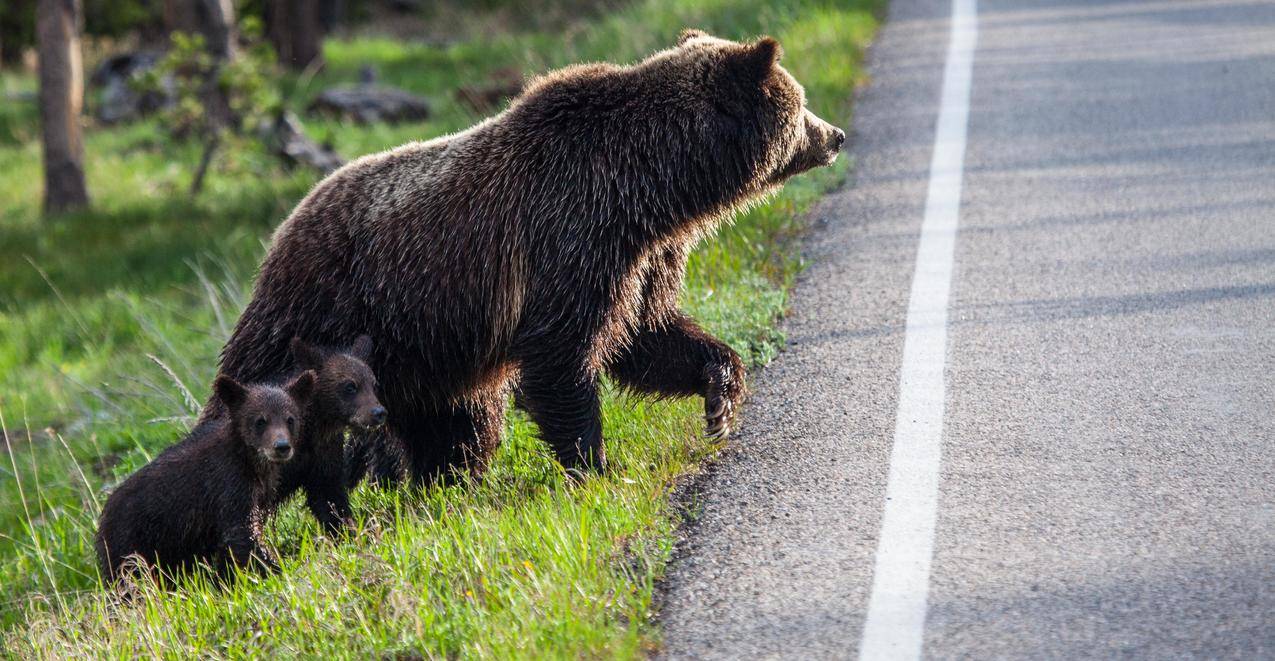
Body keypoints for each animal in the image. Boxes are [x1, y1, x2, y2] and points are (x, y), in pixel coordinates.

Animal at [96, 372, 316, 586]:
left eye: (290, 419)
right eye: (260, 420)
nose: (281, 446)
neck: (250, 461)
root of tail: (101, 520)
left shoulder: (258, 492)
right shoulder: (228, 484)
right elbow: (242, 534)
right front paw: (278, 569)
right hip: (130, 543)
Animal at [214, 29, 841, 487]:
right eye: (801, 104)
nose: (834, 135)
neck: (655, 187)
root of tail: (282, 229)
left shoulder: (643, 255)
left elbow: (646, 334)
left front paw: (720, 398)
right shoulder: (570, 238)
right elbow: (563, 358)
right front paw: (596, 466)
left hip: (426, 357)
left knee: (461, 427)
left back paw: (447, 484)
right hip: (328, 311)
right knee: (250, 385)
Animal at [272, 336, 382, 538]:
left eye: (373, 384)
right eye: (350, 386)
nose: (379, 412)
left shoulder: (324, 456)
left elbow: (330, 499)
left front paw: (348, 532)